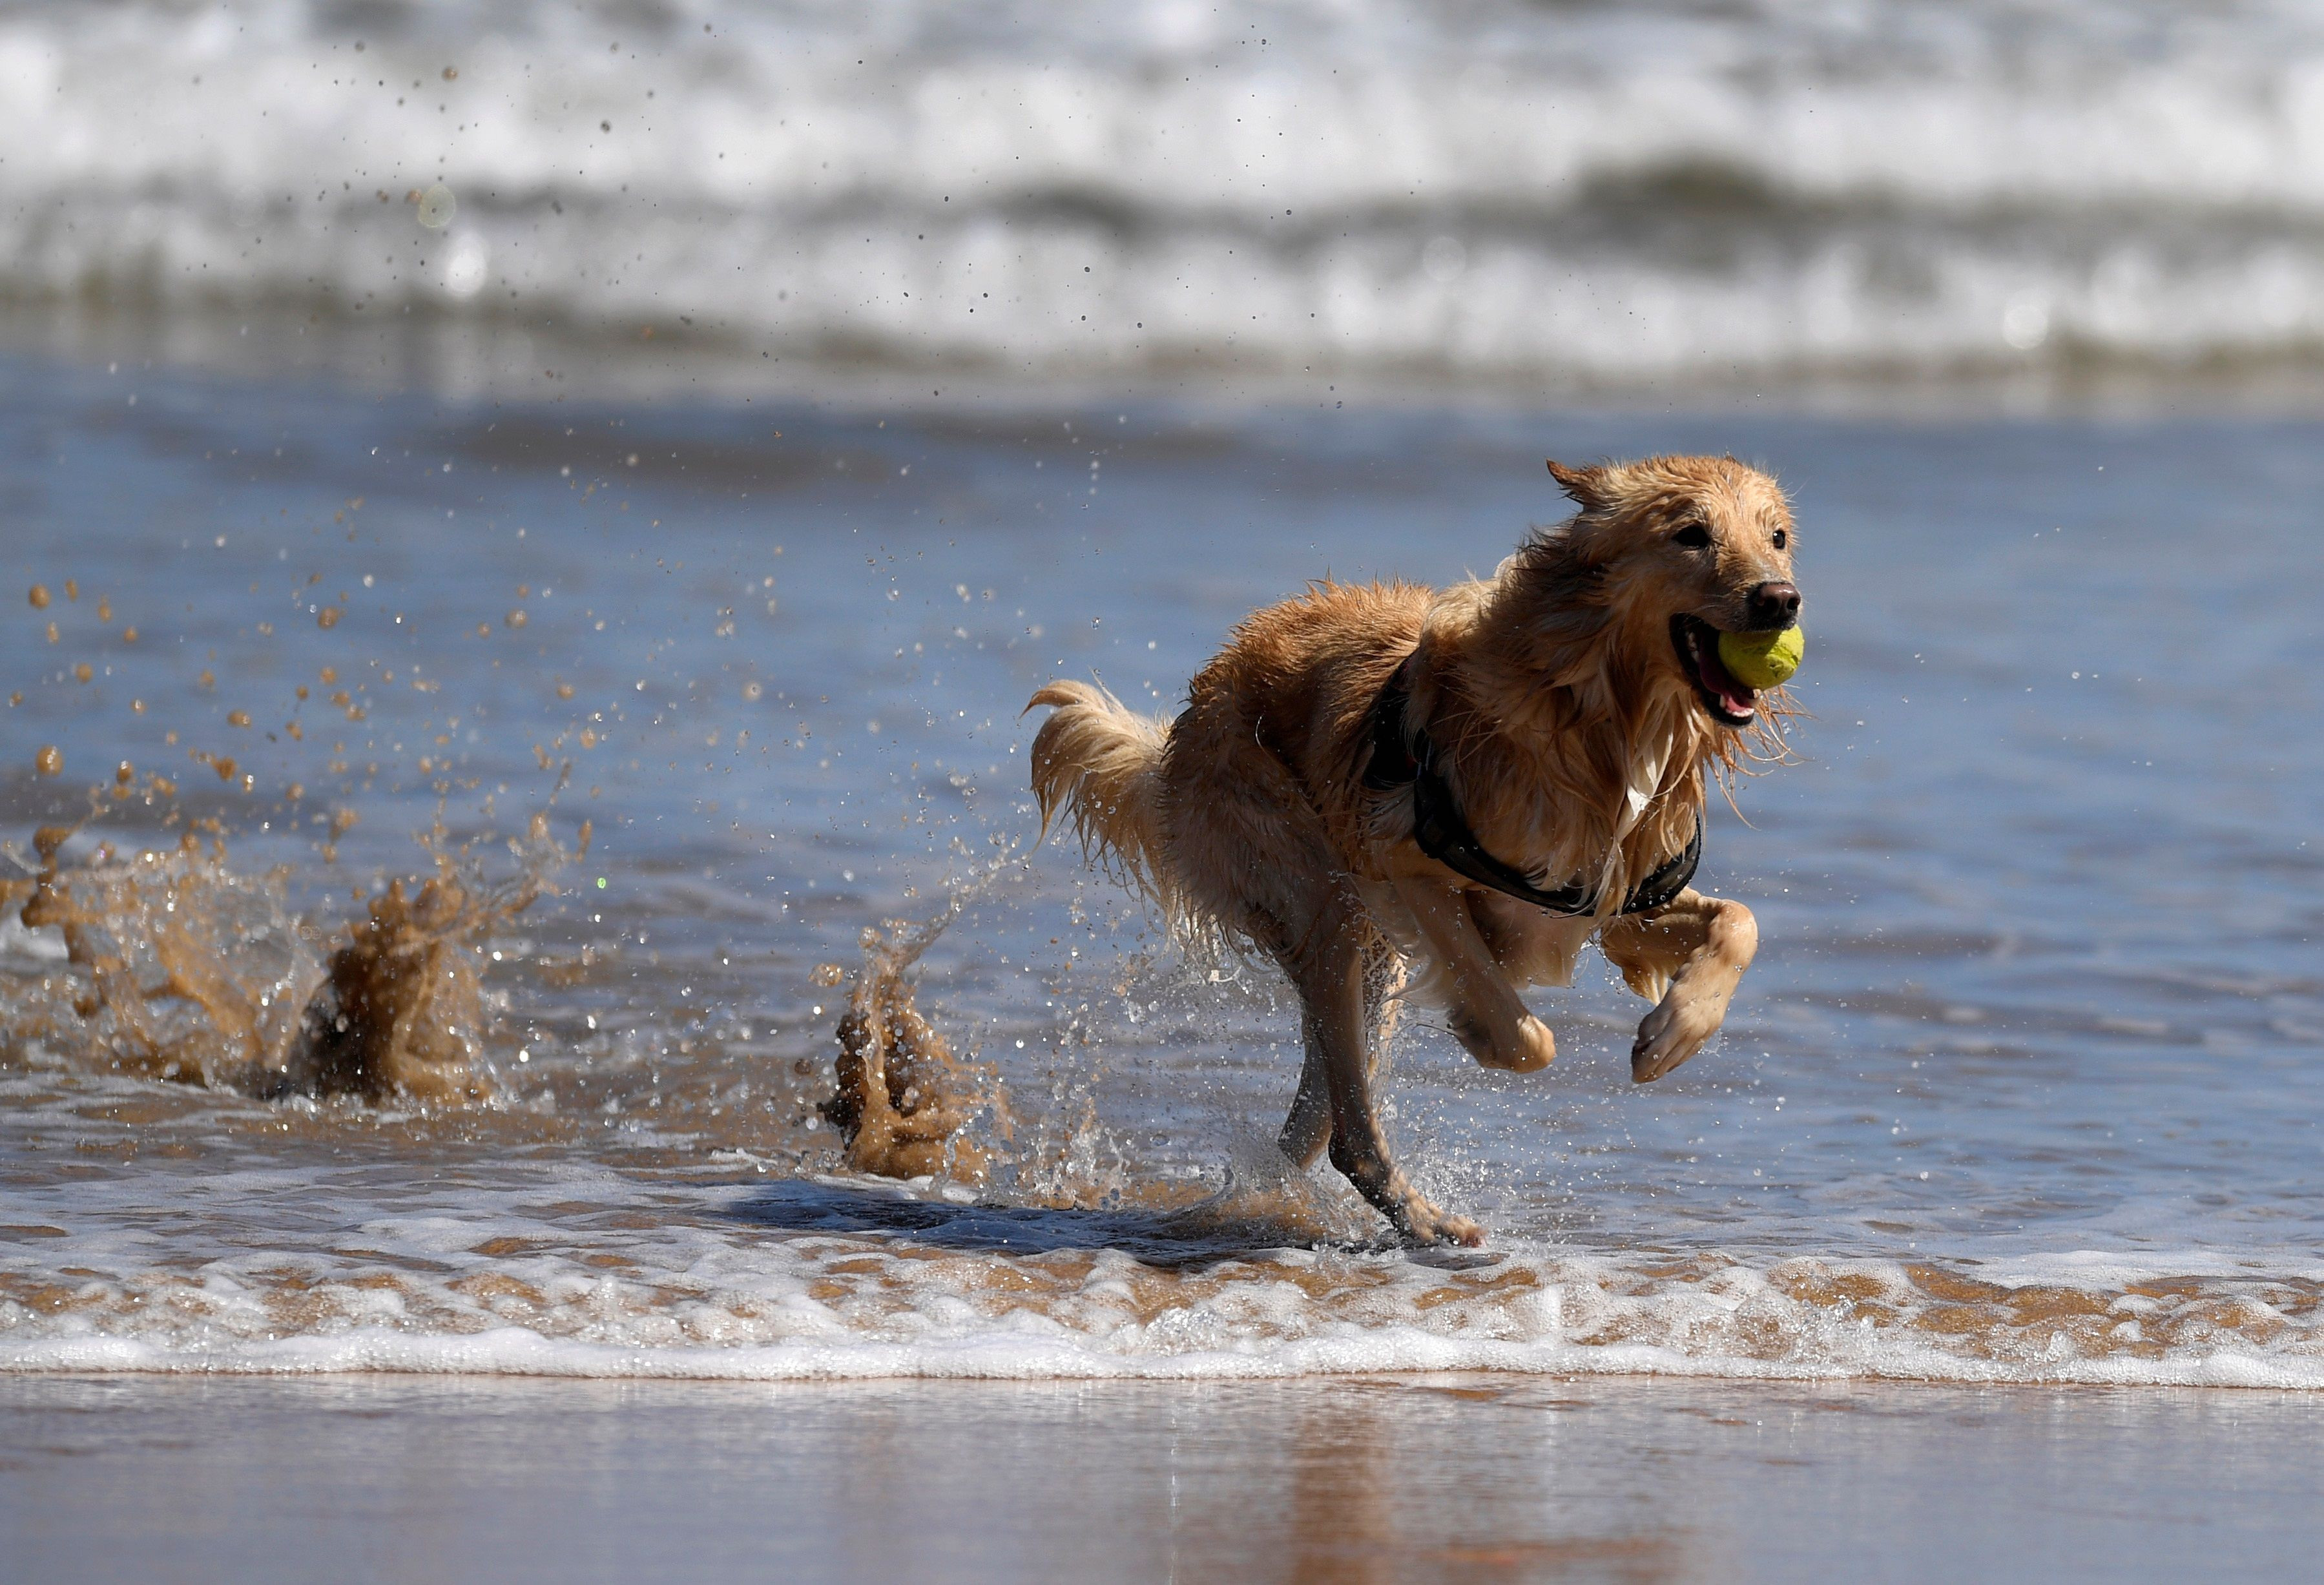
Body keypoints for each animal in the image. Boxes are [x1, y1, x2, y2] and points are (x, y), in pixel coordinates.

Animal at [1027, 451, 1803, 1236]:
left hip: (1367, 960)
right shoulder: (1407, 864)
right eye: (1691, 534)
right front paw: (1481, 1032)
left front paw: (1673, 1033)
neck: (1599, 720)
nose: (1781, 601)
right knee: (1347, 1125)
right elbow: (1523, 1031)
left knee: (1315, 1118)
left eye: (1775, 537)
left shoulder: (1609, 904)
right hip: (1323, 900)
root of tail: (1188, 720)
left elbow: (1741, 922)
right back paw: (1423, 1219)